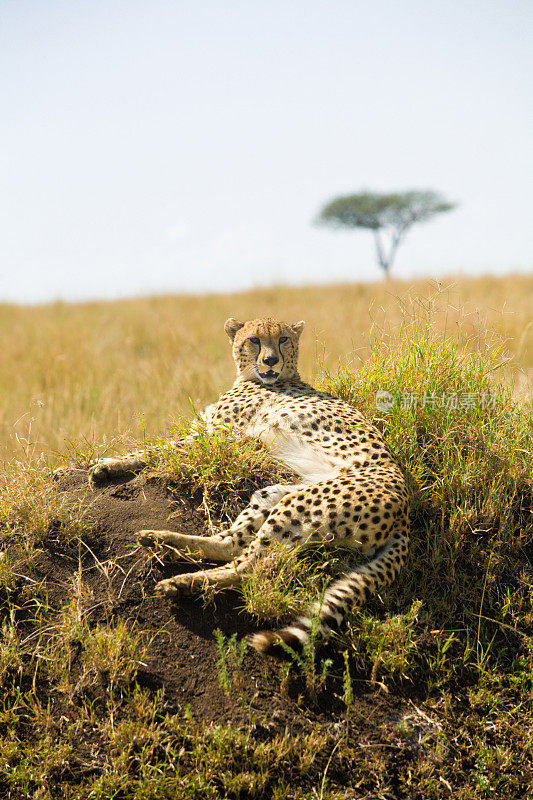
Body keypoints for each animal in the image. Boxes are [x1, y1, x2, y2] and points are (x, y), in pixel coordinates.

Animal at [91, 318, 410, 656]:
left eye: (283, 339)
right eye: (255, 340)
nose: (270, 361)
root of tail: (405, 514)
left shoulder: (218, 435)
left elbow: (160, 449)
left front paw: (109, 463)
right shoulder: (214, 433)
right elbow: (163, 448)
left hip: (301, 505)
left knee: (249, 568)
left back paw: (183, 582)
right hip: (275, 494)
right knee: (231, 543)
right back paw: (162, 541)